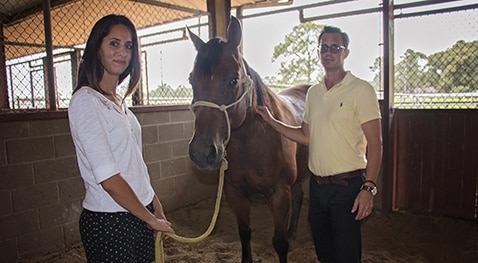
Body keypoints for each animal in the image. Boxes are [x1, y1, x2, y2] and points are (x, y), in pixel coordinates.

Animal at [185, 17, 312, 263]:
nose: (202, 153)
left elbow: (279, 243)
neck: (251, 146)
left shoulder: (279, 194)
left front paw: (285, 241)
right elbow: (244, 232)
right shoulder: (235, 193)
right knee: (299, 196)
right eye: (191, 80)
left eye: (234, 80)